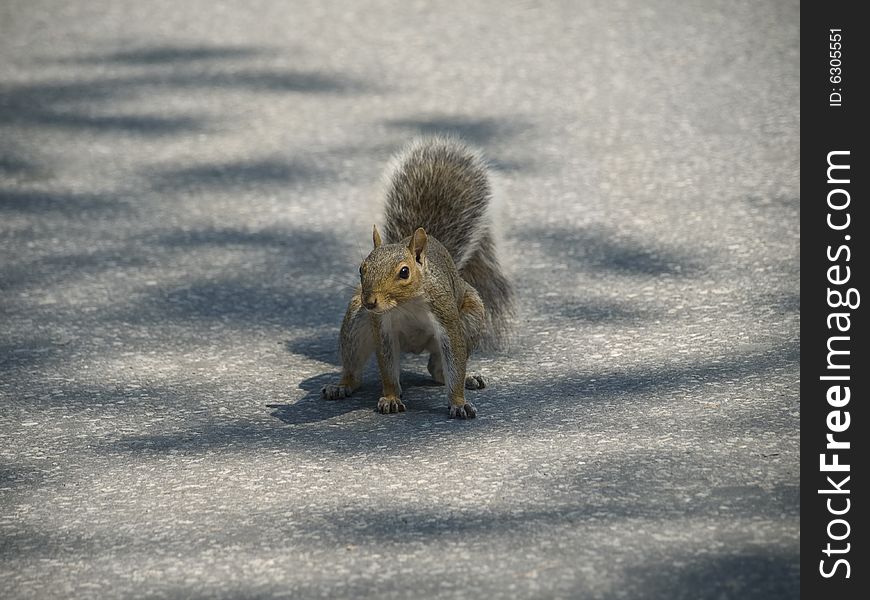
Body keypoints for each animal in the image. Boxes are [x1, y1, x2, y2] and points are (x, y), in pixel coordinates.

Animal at [322, 136, 516, 418]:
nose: (370, 302)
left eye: (404, 272)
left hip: (471, 318)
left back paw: (468, 378)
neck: (406, 304)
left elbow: (454, 361)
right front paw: (391, 398)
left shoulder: (446, 319)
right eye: (361, 269)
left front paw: (459, 402)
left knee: (439, 370)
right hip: (356, 323)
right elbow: (387, 368)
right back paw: (341, 385)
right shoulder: (382, 327)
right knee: (354, 370)